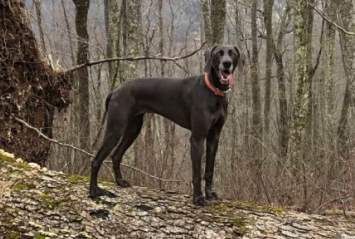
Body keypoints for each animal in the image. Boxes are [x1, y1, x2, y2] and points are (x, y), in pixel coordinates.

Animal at [89, 45, 241, 205]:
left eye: (232, 53)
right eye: (219, 53)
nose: (226, 64)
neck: (213, 91)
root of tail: (115, 91)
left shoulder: (214, 137)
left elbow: (209, 170)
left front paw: (210, 194)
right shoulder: (197, 138)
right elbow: (196, 172)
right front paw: (198, 198)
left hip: (133, 129)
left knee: (116, 155)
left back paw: (120, 181)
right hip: (115, 129)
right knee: (96, 160)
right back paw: (93, 191)